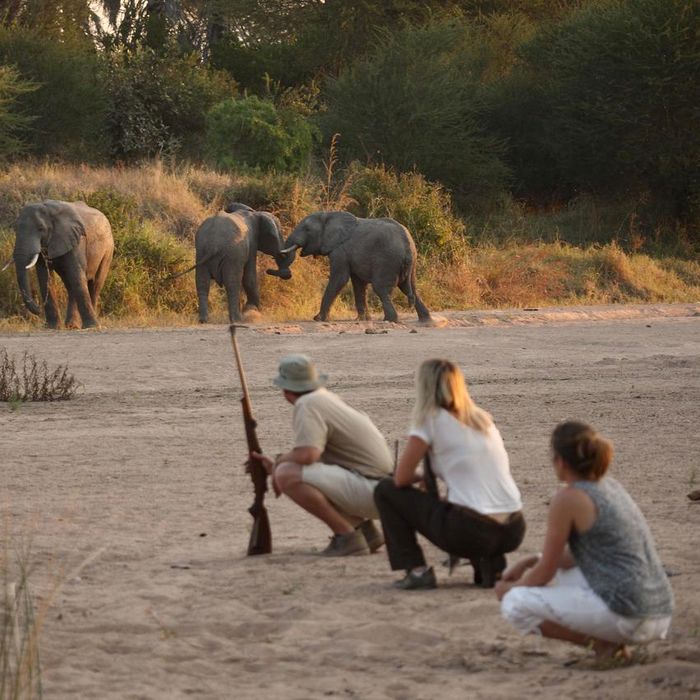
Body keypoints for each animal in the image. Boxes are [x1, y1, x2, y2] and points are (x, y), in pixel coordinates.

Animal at [5, 197, 113, 328]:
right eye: (15, 229)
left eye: (41, 228)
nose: (38, 309)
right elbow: (44, 278)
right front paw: (52, 327)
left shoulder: (77, 241)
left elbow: (76, 275)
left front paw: (91, 327)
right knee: (70, 285)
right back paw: (71, 326)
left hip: (108, 250)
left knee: (95, 284)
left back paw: (90, 324)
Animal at [282, 211, 430, 322]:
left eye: (307, 230)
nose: (288, 274)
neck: (329, 214)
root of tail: (407, 245)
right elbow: (358, 283)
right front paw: (363, 319)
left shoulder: (340, 250)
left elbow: (339, 279)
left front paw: (318, 319)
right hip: (410, 263)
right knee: (410, 288)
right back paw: (426, 321)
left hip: (388, 261)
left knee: (381, 289)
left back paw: (390, 320)